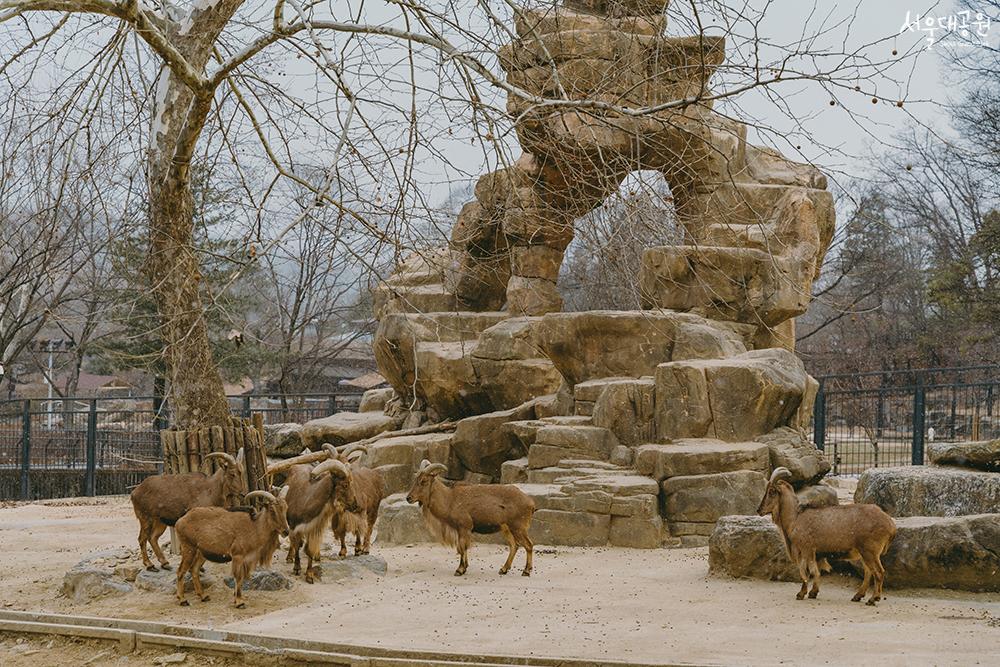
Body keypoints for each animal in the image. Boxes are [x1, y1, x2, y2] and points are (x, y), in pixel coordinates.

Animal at [404, 462, 536, 576]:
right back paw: (503, 569)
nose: (408, 498)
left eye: (424, 481)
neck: (450, 500)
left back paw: (526, 571)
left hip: (518, 527)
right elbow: (463, 548)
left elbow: (462, 547)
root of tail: (530, 503)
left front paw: (460, 570)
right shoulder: (461, 530)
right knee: (514, 545)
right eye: (415, 480)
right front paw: (464, 567)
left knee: (528, 545)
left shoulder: (464, 527)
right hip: (506, 528)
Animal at [756, 470, 900, 604]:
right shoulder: (812, 553)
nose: (759, 510)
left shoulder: (806, 550)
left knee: (879, 572)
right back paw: (858, 596)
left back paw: (873, 598)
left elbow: (807, 572)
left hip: (870, 552)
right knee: (869, 572)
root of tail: (890, 525)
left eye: (771, 491)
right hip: (865, 553)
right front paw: (813, 593)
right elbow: (814, 571)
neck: (796, 518)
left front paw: (802, 594)